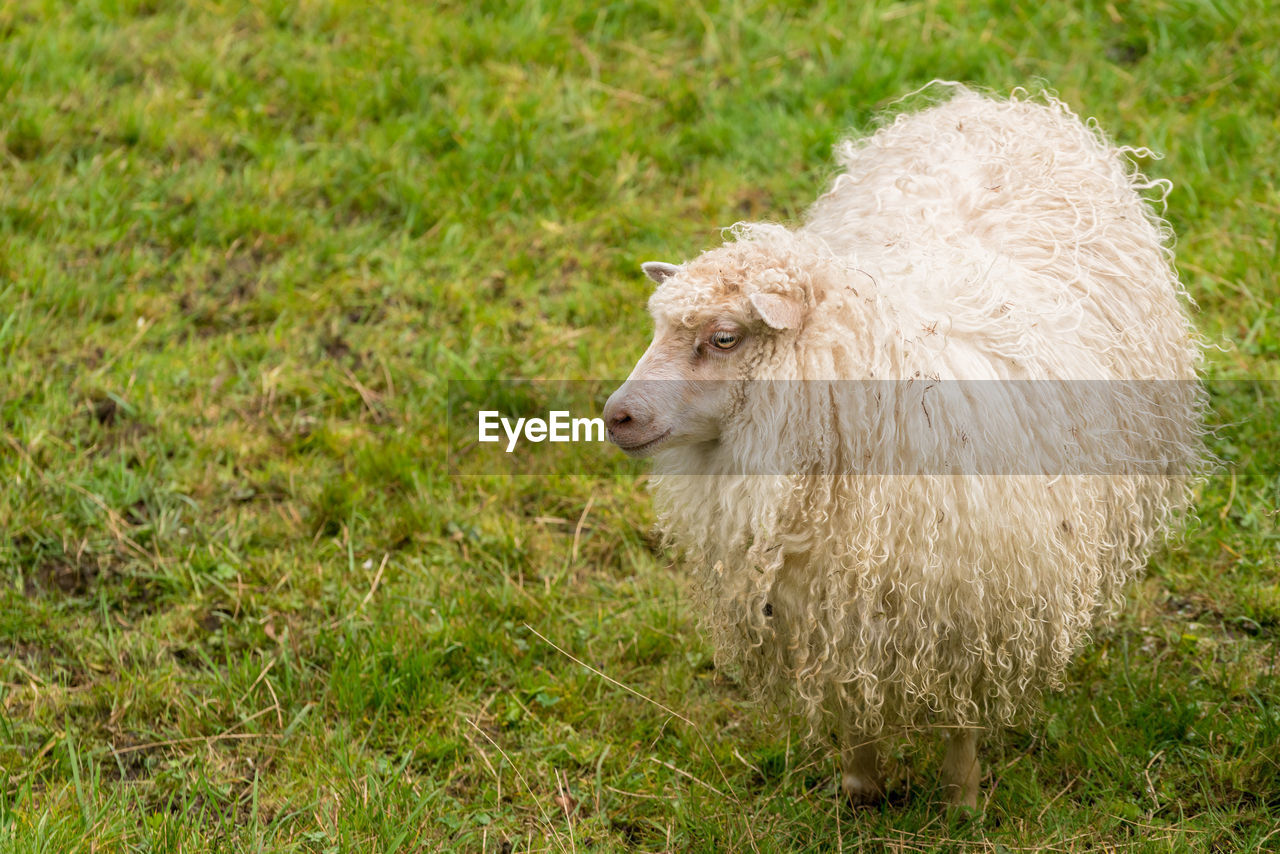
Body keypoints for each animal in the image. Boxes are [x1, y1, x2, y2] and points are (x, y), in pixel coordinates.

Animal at [604, 85, 1203, 809]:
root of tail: (1001, 103)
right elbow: (850, 698)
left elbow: (962, 718)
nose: (616, 415)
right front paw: (860, 785)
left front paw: (963, 802)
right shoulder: (827, 602)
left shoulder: (976, 601)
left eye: (723, 338)